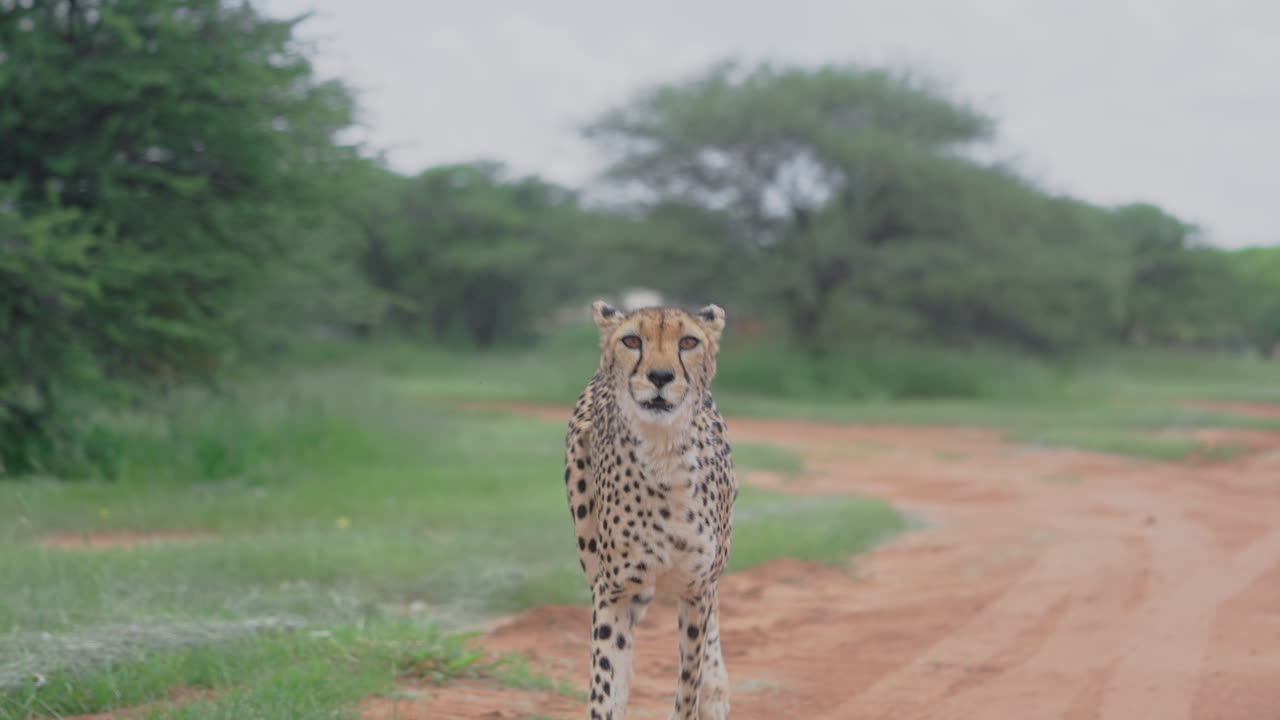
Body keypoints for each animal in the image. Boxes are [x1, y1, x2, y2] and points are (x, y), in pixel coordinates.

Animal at [564, 299, 738, 720]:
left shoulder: (696, 588)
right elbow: (604, 680)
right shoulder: (613, 588)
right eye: (632, 340)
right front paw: (610, 697)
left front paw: (704, 692)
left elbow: (688, 685)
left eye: (688, 341)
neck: (664, 452)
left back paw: (716, 691)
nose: (659, 376)